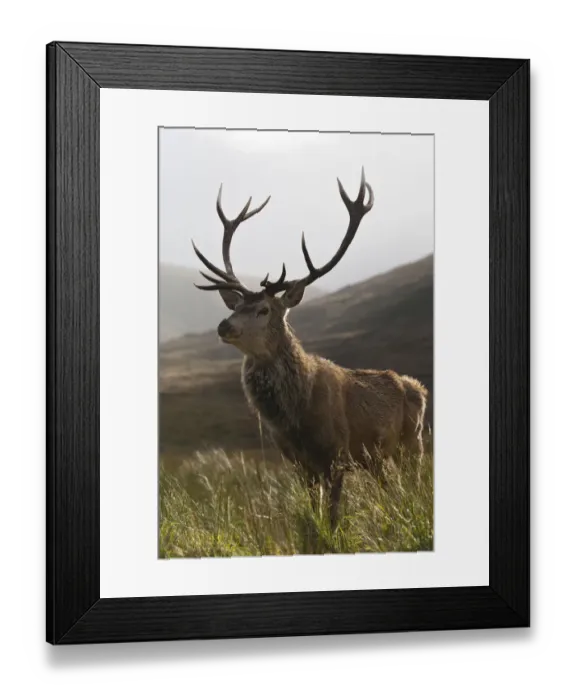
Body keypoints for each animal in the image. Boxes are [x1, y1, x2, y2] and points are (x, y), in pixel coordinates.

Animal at [191, 169, 428, 529]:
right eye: (237, 307)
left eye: (263, 310)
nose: (224, 326)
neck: (295, 417)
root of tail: (420, 388)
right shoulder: (297, 462)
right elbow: (313, 516)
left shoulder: (336, 454)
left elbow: (332, 517)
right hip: (378, 458)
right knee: (392, 490)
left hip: (411, 442)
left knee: (415, 486)